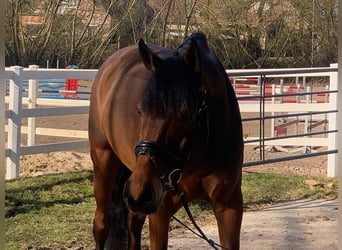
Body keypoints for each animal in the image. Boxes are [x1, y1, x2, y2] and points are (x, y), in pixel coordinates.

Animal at [88, 32, 243, 249]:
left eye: (187, 114)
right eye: (140, 110)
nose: (141, 192)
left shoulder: (229, 207)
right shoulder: (161, 213)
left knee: (133, 224)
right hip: (106, 164)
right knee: (102, 225)